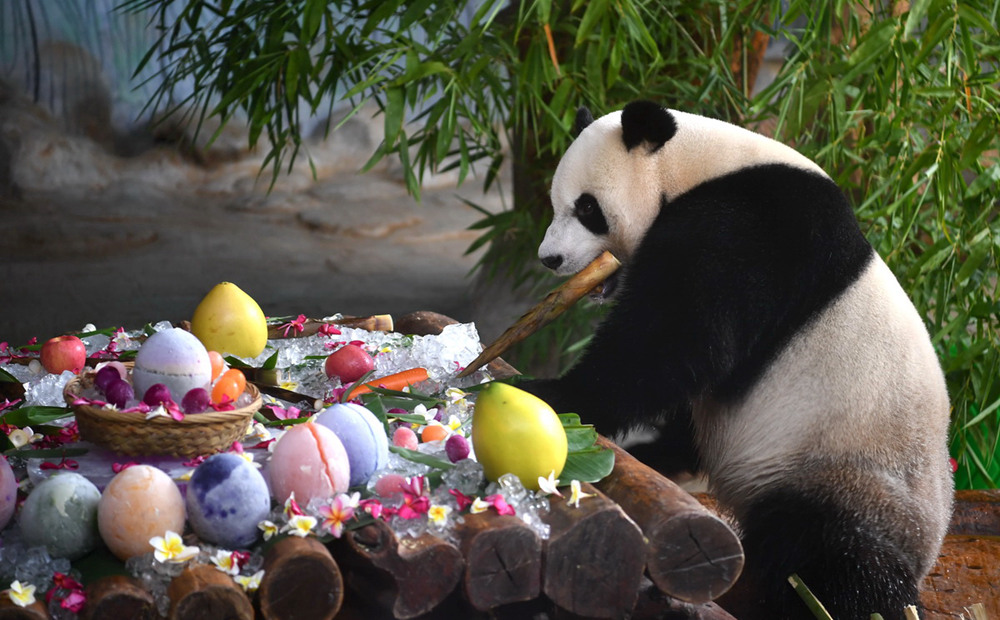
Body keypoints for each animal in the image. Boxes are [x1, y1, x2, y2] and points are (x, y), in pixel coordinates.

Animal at [522, 100, 953, 620]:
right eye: (554, 202)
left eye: (587, 208)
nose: (550, 258)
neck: (694, 165)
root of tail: (930, 544)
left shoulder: (753, 228)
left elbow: (677, 340)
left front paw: (549, 393)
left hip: (844, 470)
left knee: (831, 554)